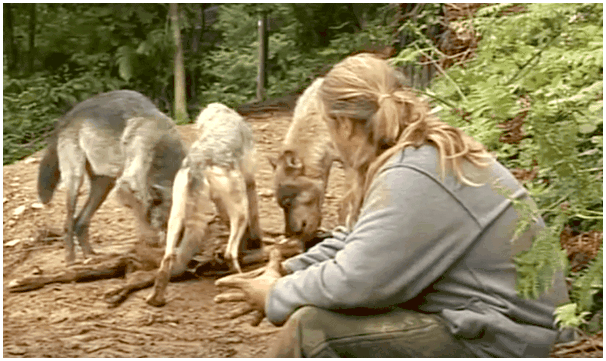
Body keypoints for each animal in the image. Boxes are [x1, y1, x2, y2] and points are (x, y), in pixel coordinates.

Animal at [37, 89, 186, 264]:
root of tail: (69, 114)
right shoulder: (127, 187)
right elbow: (143, 220)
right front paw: (150, 247)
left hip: (104, 185)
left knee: (79, 221)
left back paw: (90, 255)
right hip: (76, 180)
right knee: (68, 223)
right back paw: (71, 259)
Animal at [147, 102, 264, 306]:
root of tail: (198, 164)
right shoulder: (250, 183)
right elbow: (255, 220)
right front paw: (256, 243)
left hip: (177, 217)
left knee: (168, 258)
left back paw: (156, 298)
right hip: (240, 210)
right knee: (229, 253)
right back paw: (238, 279)